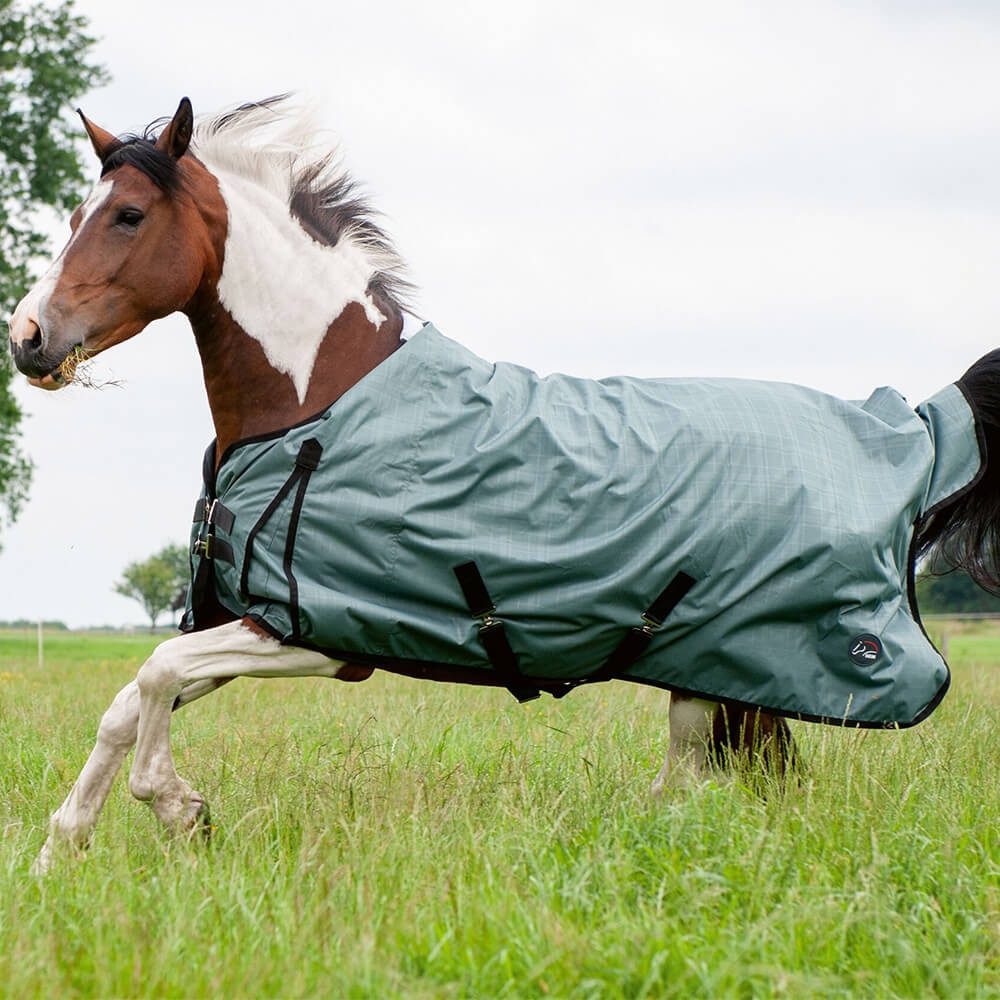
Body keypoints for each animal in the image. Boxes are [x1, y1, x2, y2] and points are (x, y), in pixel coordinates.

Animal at [9, 97, 1000, 875]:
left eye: (128, 215)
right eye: (77, 212)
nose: (28, 338)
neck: (313, 403)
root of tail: (908, 428)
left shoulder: (317, 635)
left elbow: (154, 675)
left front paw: (180, 810)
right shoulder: (251, 623)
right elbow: (127, 702)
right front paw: (62, 852)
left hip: (713, 672)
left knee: (689, 790)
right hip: (724, 673)